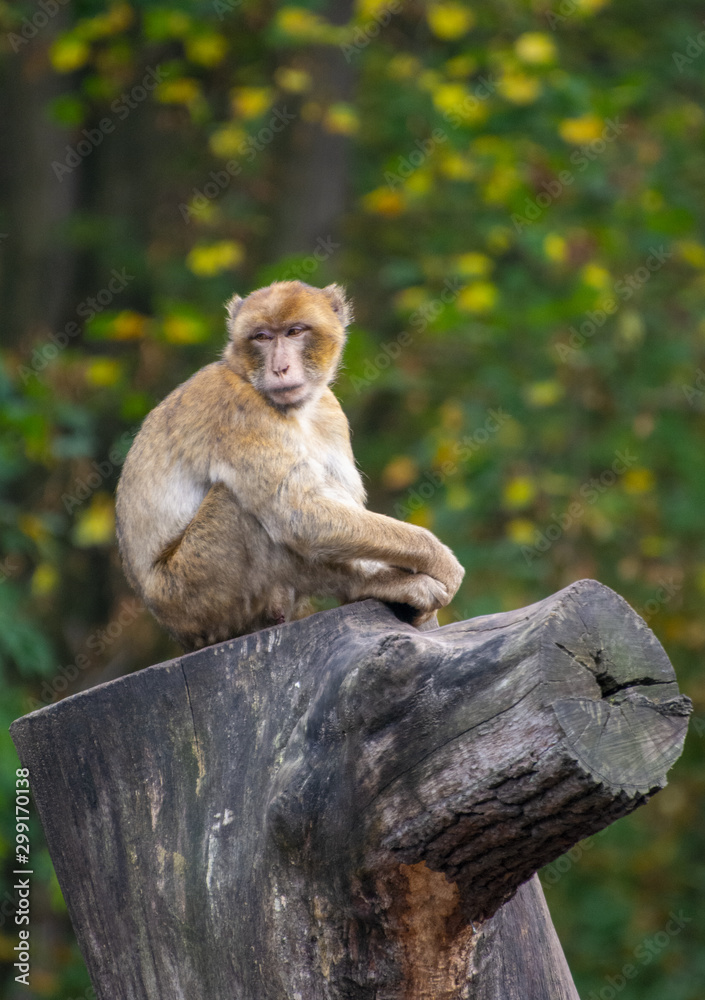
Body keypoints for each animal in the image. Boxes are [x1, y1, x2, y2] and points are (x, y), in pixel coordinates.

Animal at [115, 280, 464, 651]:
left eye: (294, 332)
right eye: (262, 337)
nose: (279, 368)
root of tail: (178, 632)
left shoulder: (330, 410)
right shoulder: (239, 410)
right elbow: (299, 514)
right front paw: (439, 559)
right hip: (197, 595)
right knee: (244, 509)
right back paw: (366, 586)